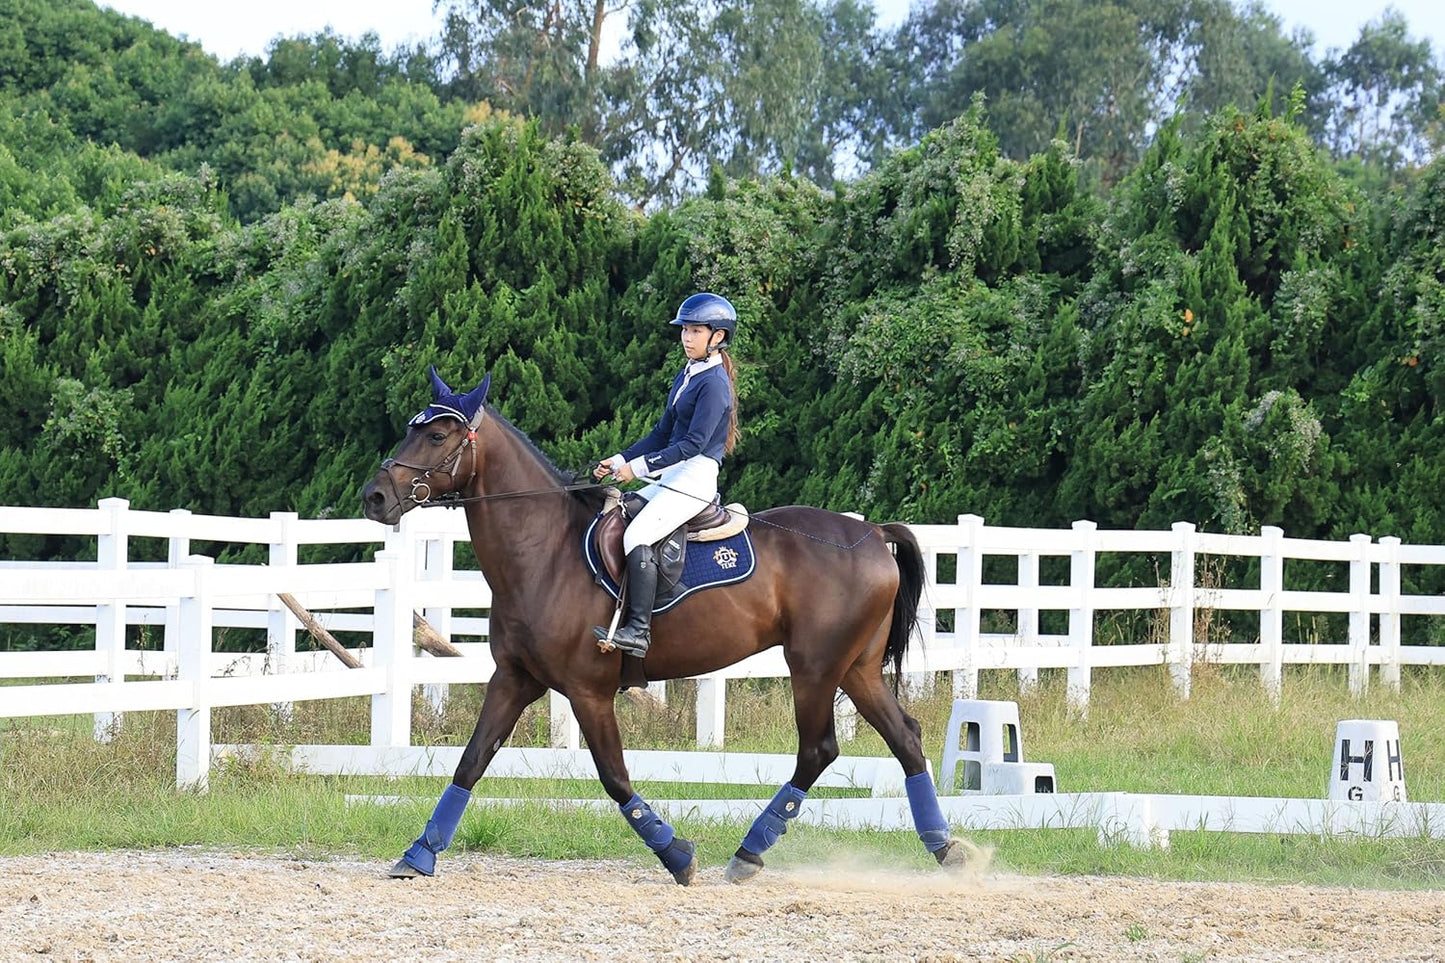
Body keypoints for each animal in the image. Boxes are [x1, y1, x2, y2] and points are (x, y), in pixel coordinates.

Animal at [360, 367, 969, 884]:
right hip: (855, 669)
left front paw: (676, 853)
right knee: (905, 739)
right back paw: (946, 849)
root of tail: (872, 535)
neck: (544, 551)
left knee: (818, 750)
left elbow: (614, 778)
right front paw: (419, 854)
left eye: (439, 436)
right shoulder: (514, 679)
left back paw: (749, 852)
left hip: (816, 667)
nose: (375, 497)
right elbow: (471, 761)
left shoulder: (588, 690)